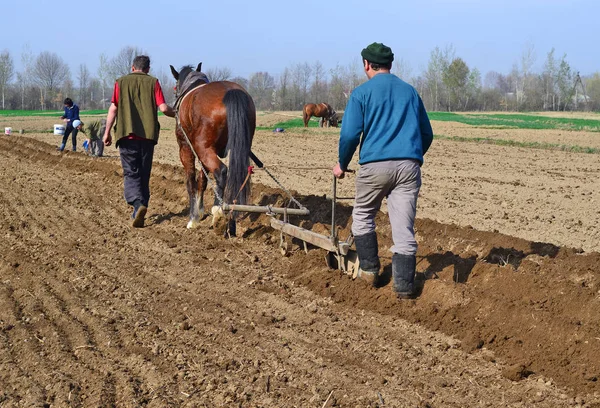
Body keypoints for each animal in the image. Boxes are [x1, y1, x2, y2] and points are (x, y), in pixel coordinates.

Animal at [169, 63, 255, 236]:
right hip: (234, 148)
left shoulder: (186, 147)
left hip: (204, 148)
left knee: (221, 171)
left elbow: (191, 181)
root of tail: (231, 92)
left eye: (175, 86)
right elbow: (202, 181)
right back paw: (231, 221)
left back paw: (218, 212)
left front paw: (193, 218)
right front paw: (200, 210)